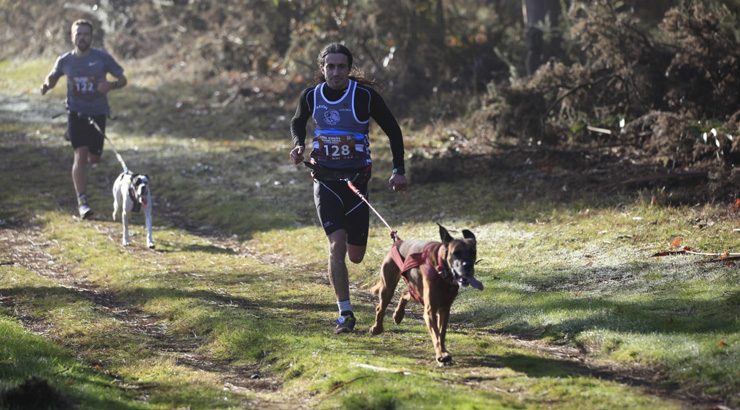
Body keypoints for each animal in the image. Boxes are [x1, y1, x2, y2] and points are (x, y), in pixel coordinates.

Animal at [370, 224, 486, 366]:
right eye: (456, 253)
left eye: (473, 252)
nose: (468, 265)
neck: (443, 271)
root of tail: (398, 242)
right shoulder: (430, 310)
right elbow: (436, 334)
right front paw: (441, 355)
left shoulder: (444, 309)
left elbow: (441, 334)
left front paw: (443, 351)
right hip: (388, 286)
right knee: (380, 307)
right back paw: (377, 328)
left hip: (415, 288)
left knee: (405, 293)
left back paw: (398, 315)